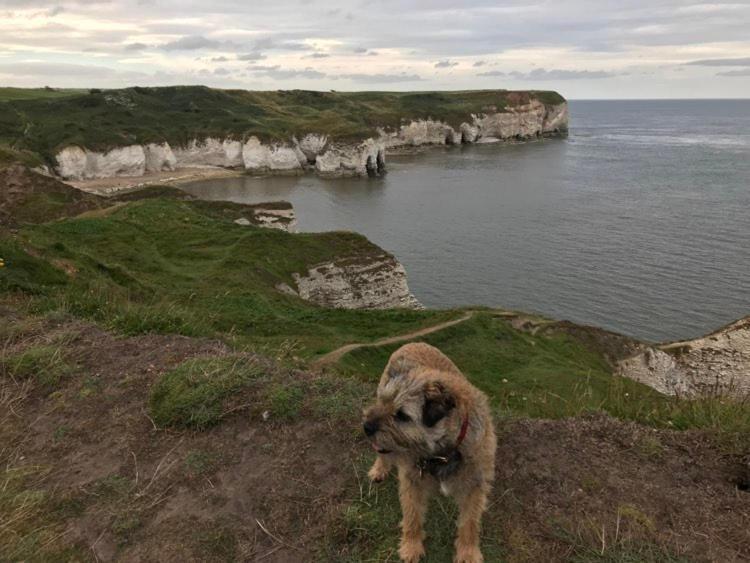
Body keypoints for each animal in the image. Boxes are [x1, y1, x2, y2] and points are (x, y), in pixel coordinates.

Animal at [364, 342, 500, 560]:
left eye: (402, 415)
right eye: (385, 401)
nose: (366, 427)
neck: (444, 452)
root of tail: (414, 342)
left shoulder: (475, 485)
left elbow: (470, 522)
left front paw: (468, 552)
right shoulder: (412, 480)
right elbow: (412, 516)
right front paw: (411, 546)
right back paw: (379, 469)